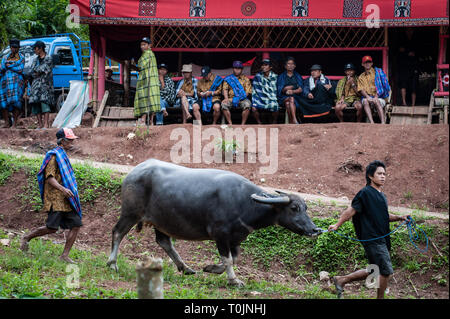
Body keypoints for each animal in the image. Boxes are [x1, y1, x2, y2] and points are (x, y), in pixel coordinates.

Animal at [107, 159, 322, 286]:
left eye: (306, 208)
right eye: (293, 208)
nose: (315, 229)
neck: (244, 202)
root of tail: (133, 173)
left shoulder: (235, 238)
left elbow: (233, 258)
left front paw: (211, 268)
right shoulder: (220, 234)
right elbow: (228, 259)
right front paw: (234, 280)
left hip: (162, 222)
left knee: (164, 242)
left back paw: (186, 268)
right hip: (130, 213)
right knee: (117, 232)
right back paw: (112, 264)